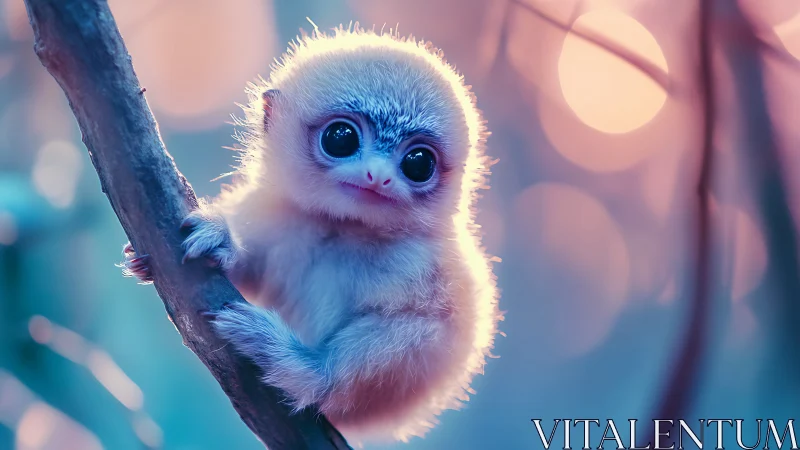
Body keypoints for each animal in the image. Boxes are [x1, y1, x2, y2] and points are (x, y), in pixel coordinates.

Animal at [121, 24, 501, 443]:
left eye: (418, 162)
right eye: (341, 137)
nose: (378, 177)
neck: (340, 227)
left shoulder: (428, 268)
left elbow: (426, 329)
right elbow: (251, 271)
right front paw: (220, 245)